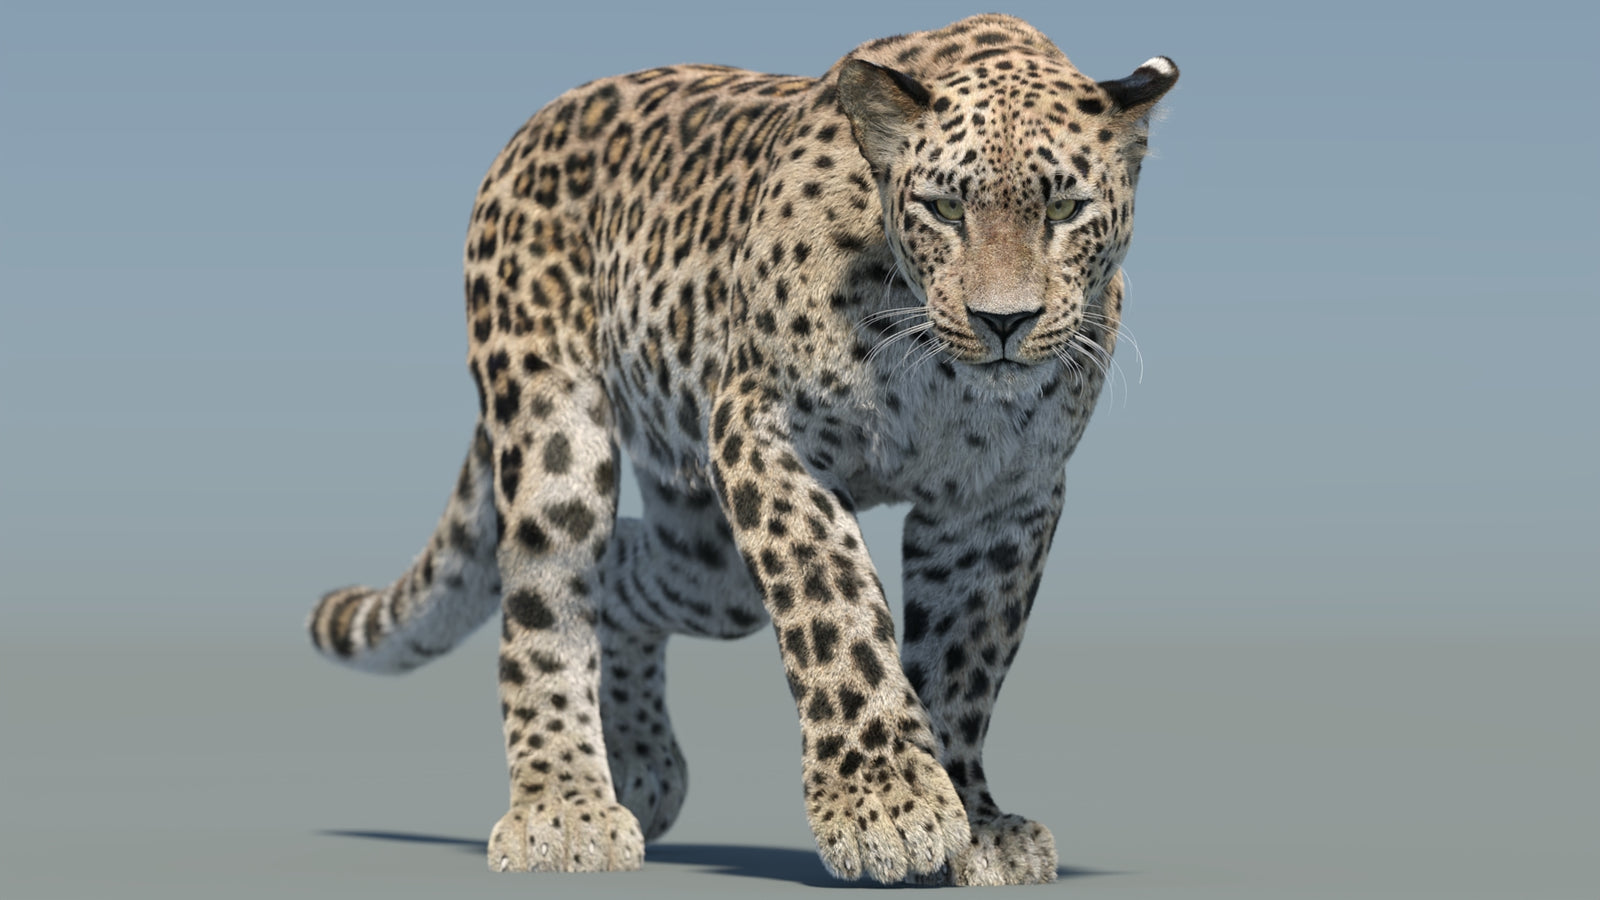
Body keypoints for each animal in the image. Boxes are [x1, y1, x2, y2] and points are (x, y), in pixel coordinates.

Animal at [307, 13, 1176, 886]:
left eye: (1065, 208)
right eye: (942, 208)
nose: (1003, 321)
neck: (937, 370)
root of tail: (536, 124)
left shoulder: (1002, 496)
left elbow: (967, 659)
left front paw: (977, 822)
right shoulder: (763, 431)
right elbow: (836, 605)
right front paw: (885, 804)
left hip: (707, 558)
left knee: (622, 575)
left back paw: (641, 767)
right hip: (554, 428)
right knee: (547, 602)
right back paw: (565, 808)